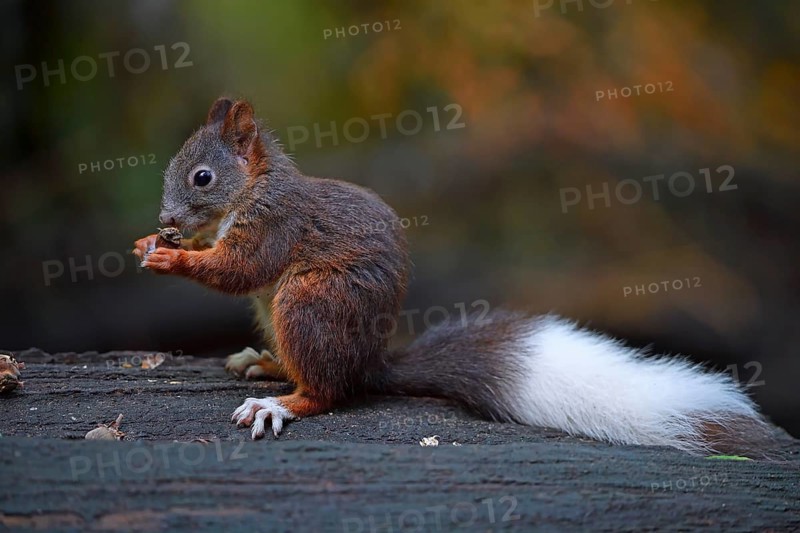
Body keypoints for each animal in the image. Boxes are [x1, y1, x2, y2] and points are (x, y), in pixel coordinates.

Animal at [133, 97, 778, 457]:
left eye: (201, 177)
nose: (166, 221)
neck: (252, 189)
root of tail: (371, 362)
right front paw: (152, 244)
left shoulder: (274, 225)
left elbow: (238, 269)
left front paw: (171, 257)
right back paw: (266, 363)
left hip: (307, 303)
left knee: (330, 392)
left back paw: (283, 402)